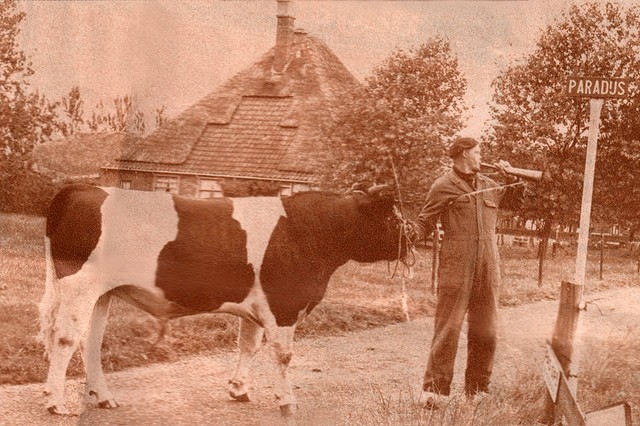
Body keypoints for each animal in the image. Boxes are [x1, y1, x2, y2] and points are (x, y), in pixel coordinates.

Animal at [38, 182, 410, 416]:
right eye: (392, 217)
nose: (416, 231)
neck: (310, 230)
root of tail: (83, 188)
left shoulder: (257, 307)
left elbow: (249, 346)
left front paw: (239, 389)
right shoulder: (284, 304)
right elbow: (283, 355)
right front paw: (287, 401)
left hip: (102, 293)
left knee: (90, 342)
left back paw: (102, 398)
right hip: (79, 284)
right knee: (65, 338)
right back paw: (57, 402)